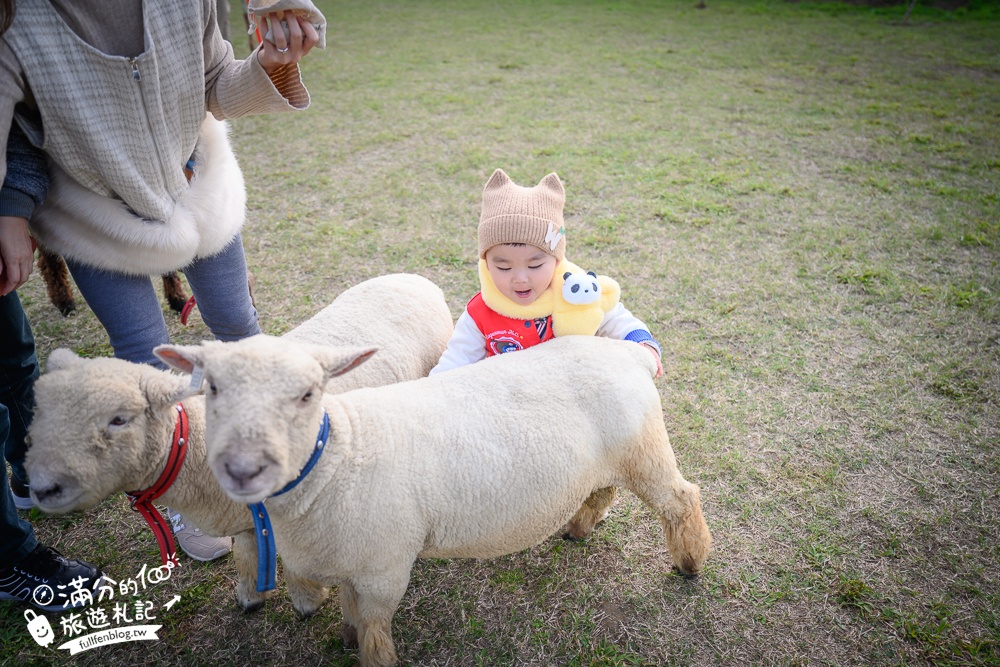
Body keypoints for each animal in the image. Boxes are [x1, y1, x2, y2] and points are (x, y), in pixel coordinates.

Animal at [24, 272, 454, 616]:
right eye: (42, 409)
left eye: (119, 419)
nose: (41, 488)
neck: (196, 446)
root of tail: (412, 277)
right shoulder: (245, 519)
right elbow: (246, 555)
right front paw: (250, 596)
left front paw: (307, 602)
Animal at [154, 336, 712, 664]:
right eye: (212, 387)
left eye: (309, 393)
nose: (243, 468)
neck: (337, 457)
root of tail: (627, 351)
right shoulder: (352, 561)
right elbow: (351, 610)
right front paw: (345, 637)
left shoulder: (384, 567)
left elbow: (375, 627)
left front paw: (368, 652)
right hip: (609, 458)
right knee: (603, 488)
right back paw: (578, 527)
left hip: (644, 449)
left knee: (681, 499)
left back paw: (690, 561)